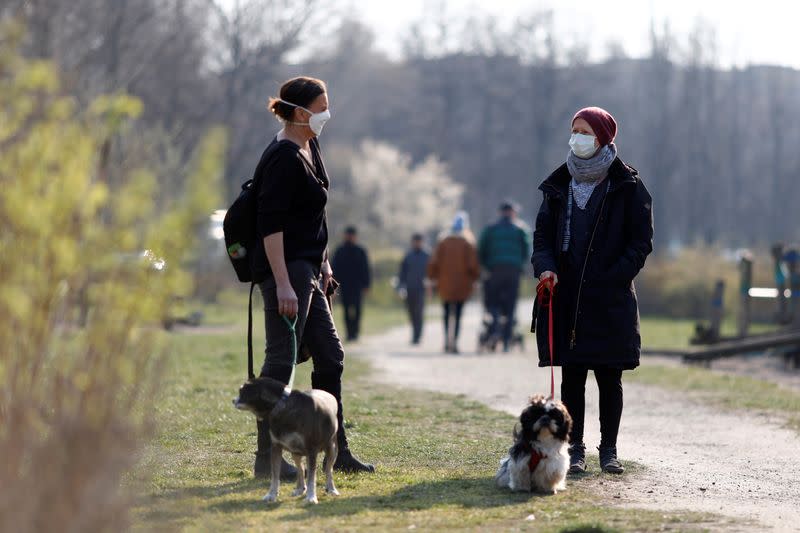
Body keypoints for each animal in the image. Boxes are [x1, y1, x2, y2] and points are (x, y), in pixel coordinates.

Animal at [236, 374, 340, 502]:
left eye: (241, 391)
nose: (233, 400)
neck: (283, 406)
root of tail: (330, 395)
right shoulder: (276, 448)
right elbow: (275, 475)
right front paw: (271, 495)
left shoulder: (312, 450)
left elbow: (312, 478)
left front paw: (311, 497)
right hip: (296, 453)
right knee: (300, 469)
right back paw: (300, 489)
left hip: (331, 450)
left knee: (329, 470)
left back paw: (331, 489)